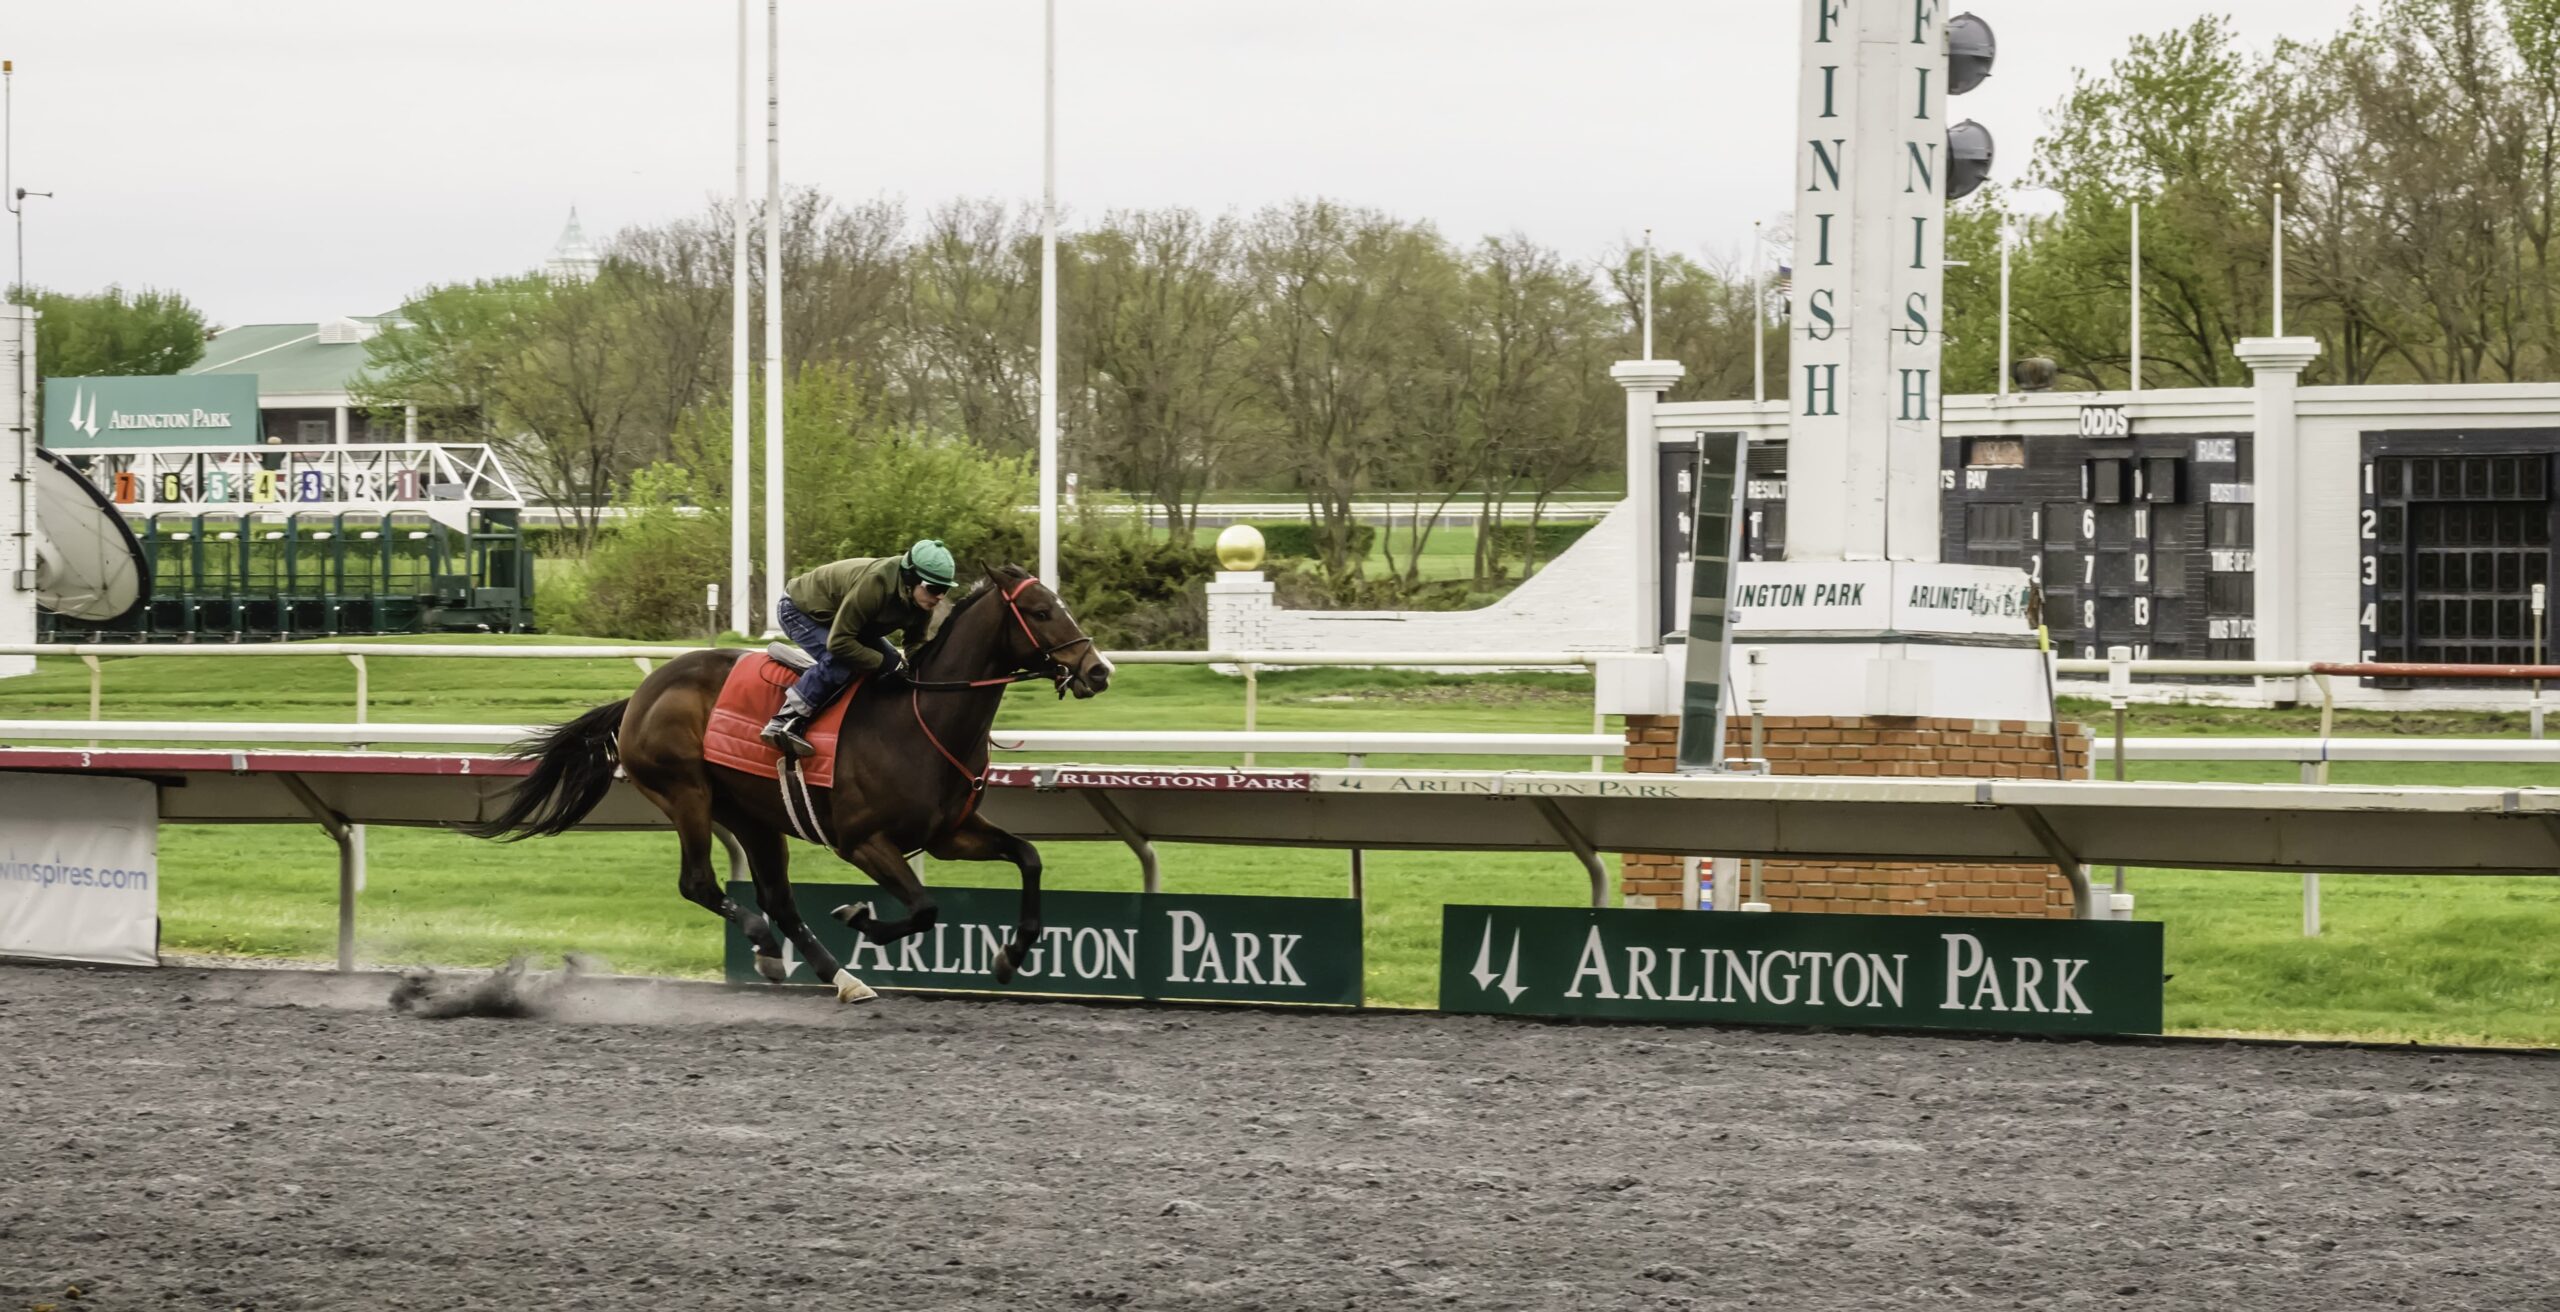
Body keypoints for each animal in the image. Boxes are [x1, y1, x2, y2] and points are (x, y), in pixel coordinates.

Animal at [465, 563, 1116, 1004]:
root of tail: (640, 696)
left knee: (778, 898)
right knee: (701, 883)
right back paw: (764, 941)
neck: (922, 718)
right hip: (686, 793)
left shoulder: (947, 834)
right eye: (1041, 612)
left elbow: (1027, 857)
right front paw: (860, 917)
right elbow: (925, 908)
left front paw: (1011, 955)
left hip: (753, 814)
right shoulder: (862, 841)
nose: (1098, 670)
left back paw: (837, 975)